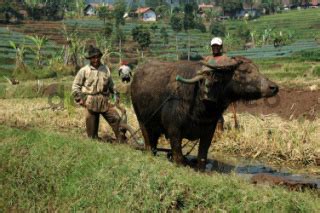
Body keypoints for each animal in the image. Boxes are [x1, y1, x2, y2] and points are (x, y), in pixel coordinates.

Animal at [130, 55, 278, 171]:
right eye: (245, 71)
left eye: (257, 69)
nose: (274, 87)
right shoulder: (174, 130)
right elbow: (178, 156)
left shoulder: (209, 131)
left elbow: (202, 156)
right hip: (142, 121)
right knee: (148, 142)